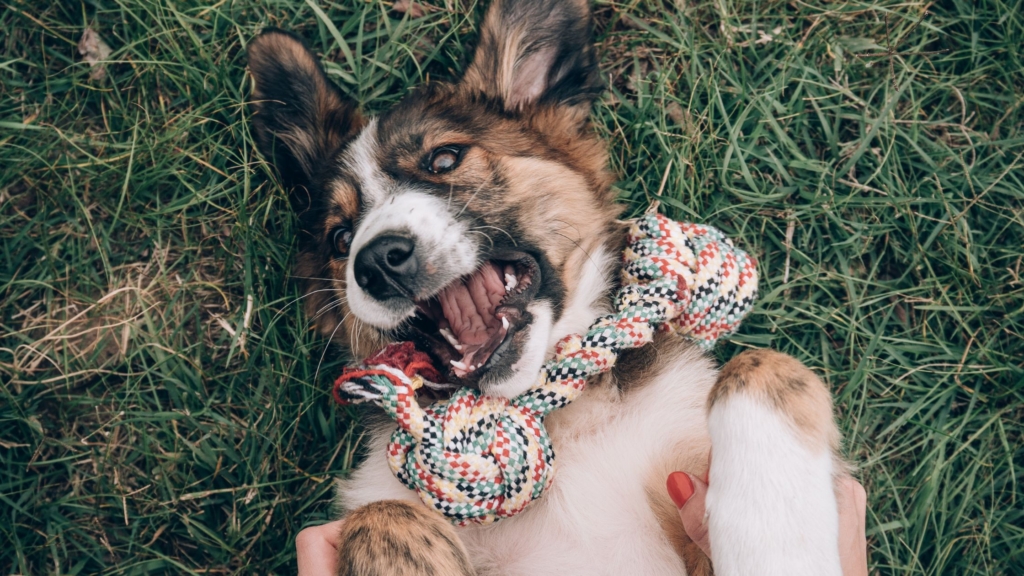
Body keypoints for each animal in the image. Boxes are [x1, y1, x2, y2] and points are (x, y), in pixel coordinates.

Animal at [249, 2, 847, 569]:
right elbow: (380, 515)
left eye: (444, 157)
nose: (376, 262)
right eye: (339, 237)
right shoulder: (376, 497)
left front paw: (776, 546)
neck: (554, 418)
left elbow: (763, 364)